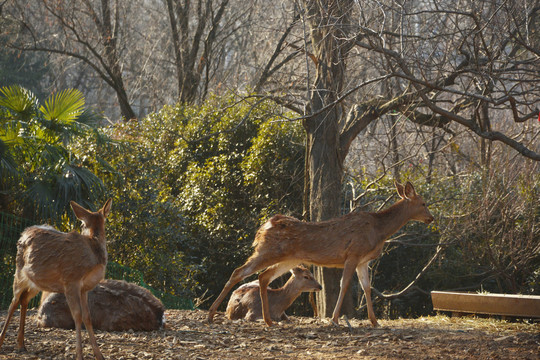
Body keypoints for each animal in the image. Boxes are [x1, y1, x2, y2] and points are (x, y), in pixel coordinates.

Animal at [0, 200, 112, 360]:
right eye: (82, 225)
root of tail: (23, 233)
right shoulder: (70, 281)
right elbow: (77, 316)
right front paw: (79, 355)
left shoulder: (84, 288)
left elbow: (87, 317)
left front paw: (99, 355)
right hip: (19, 273)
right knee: (13, 303)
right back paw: (3, 341)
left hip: (36, 283)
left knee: (24, 300)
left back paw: (21, 345)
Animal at [208, 181, 434, 328]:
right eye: (423, 203)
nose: (431, 218)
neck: (379, 231)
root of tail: (265, 226)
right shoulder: (353, 253)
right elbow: (344, 285)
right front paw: (334, 320)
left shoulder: (363, 261)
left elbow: (367, 288)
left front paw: (374, 321)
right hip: (268, 250)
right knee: (240, 271)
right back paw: (211, 315)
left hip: (289, 258)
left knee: (263, 276)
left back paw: (268, 320)